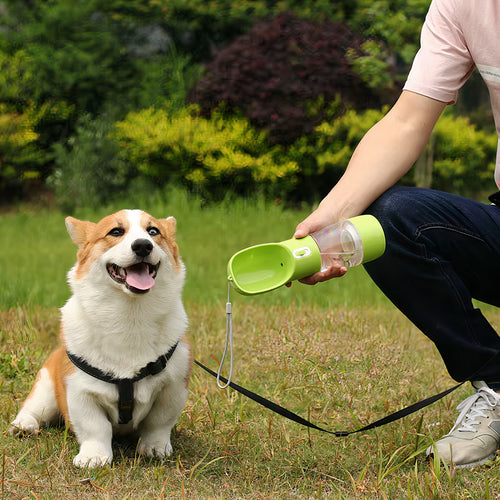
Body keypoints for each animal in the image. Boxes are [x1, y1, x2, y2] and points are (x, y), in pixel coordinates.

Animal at [12, 209, 191, 466]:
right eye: (115, 232)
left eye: (153, 231)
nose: (143, 245)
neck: (130, 316)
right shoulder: (80, 391)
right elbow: (95, 427)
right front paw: (94, 457)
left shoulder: (173, 387)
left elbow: (158, 423)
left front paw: (155, 448)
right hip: (45, 387)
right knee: (34, 407)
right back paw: (23, 425)